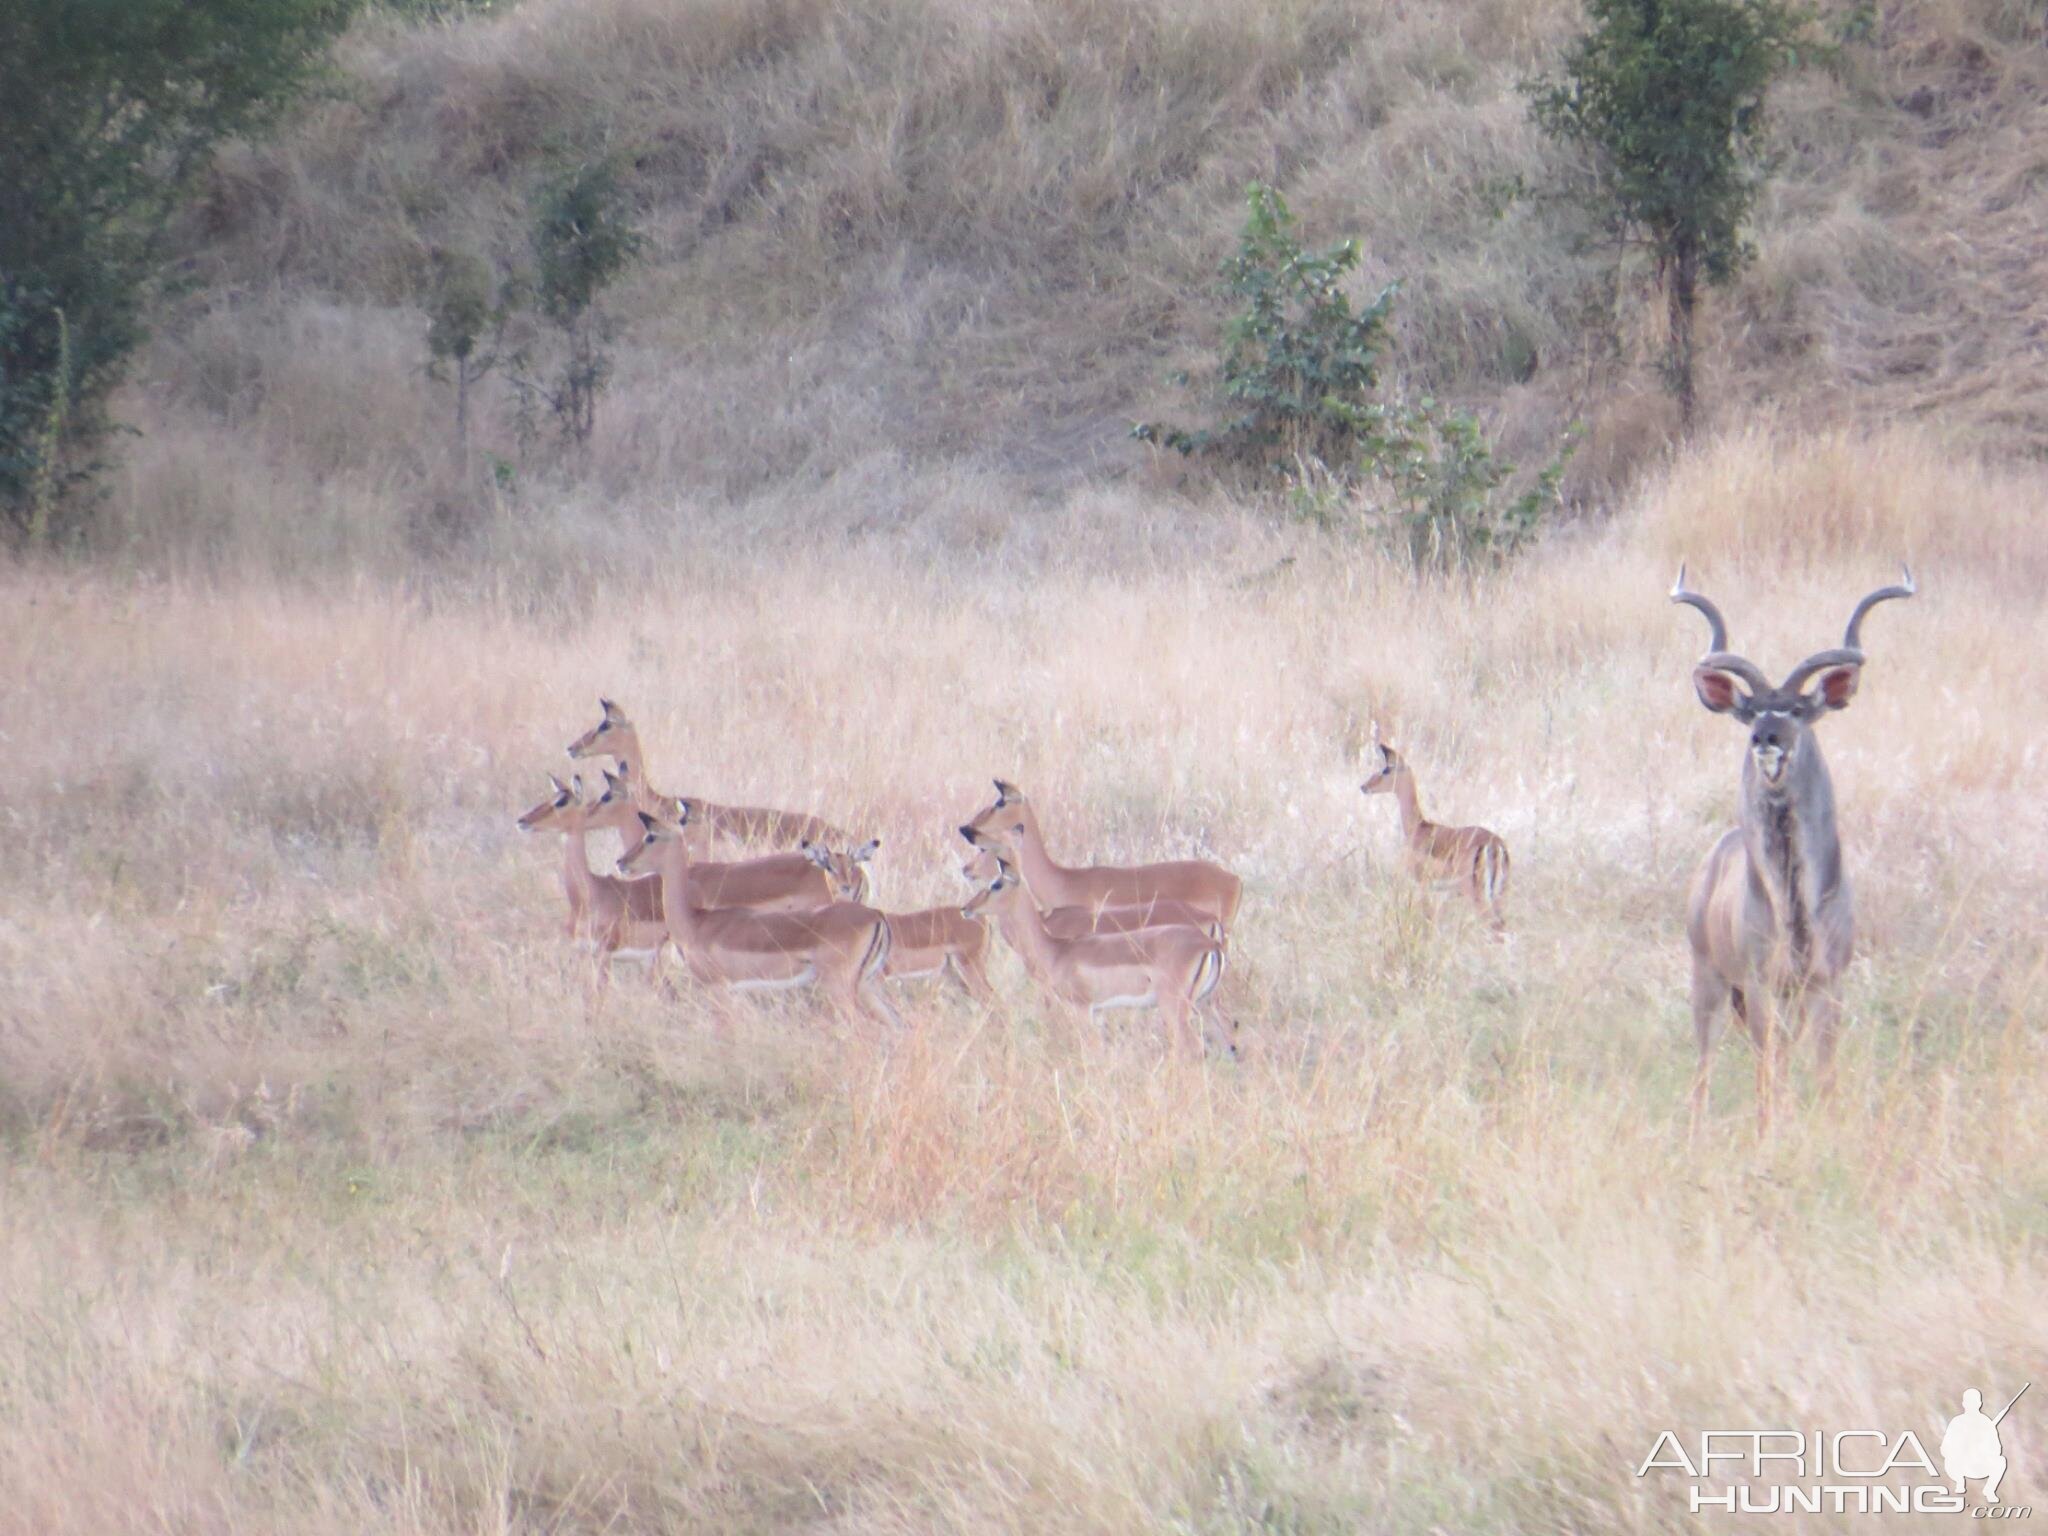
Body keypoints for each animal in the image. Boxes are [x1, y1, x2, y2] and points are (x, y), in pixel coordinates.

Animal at [1679, 561, 1916, 1130]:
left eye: (1795, 710)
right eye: (1751, 712)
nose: (1765, 739)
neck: (1796, 909)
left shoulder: (1826, 982)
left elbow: (1824, 1073)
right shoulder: (1762, 982)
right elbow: (1769, 1071)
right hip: (1709, 979)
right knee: (1706, 1067)